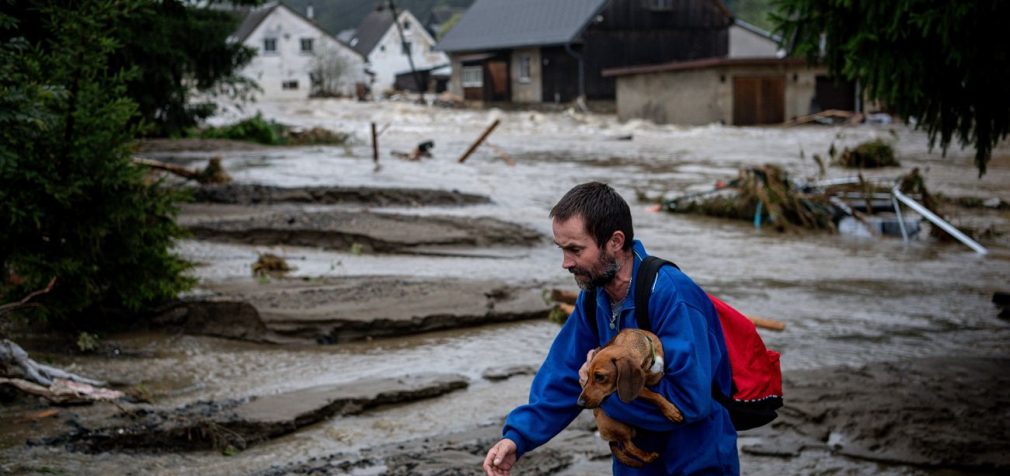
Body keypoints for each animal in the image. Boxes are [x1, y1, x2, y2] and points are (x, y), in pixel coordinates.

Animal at [577, 329, 686, 466]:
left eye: (599, 376)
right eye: (588, 375)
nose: (579, 403)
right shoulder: (639, 389)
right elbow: (654, 395)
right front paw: (671, 411)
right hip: (621, 426)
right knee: (627, 447)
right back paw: (648, 456)